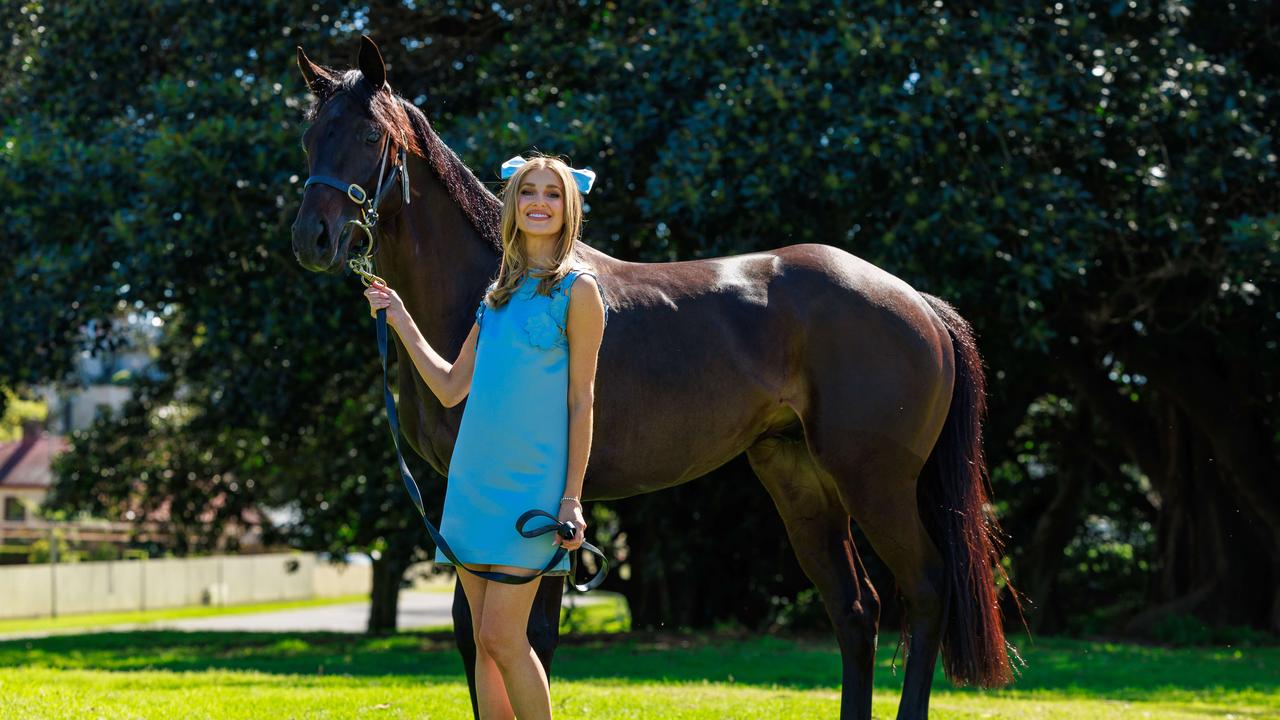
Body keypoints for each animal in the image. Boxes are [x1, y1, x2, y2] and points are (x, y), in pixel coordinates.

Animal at [290, 36, 1018, 717]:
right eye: (309, 137)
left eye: (371, 136)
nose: (313, 238)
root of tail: (916, 301)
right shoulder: (458, 497)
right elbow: (476, 636)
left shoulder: (550, 517)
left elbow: (530, 640)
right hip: (800, 478)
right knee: (855, 608)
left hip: (876, 482)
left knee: (925, 590)